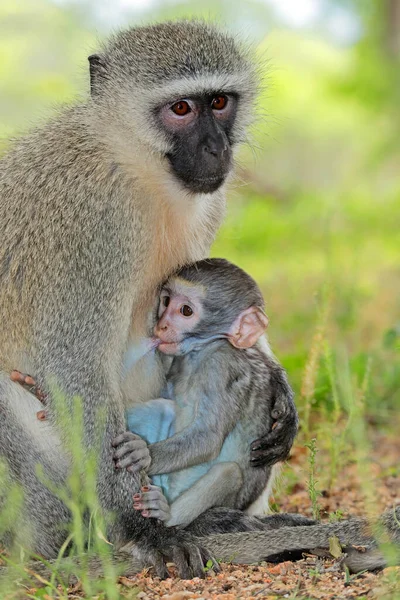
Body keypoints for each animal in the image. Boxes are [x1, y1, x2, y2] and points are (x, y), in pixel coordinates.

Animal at [114, 258, 298, 524]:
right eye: (166, 301)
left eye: (186, 311)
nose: (161, 325)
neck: (202, 351)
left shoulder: (221, 367)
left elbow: (208, 438)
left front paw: (145, 455)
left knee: (229, 472)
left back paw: (168, 515)